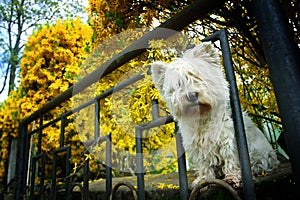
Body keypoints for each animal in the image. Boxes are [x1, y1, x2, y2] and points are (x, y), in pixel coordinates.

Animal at [151, 43, 280, 187]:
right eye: (179, 84)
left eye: (199, 77)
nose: (192, 95)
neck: (203, 117)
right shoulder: (198, 145)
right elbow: (204, 163)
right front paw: (204, 179)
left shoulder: (228, 139)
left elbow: (230, 157)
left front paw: (233, 177)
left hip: (262, 155)